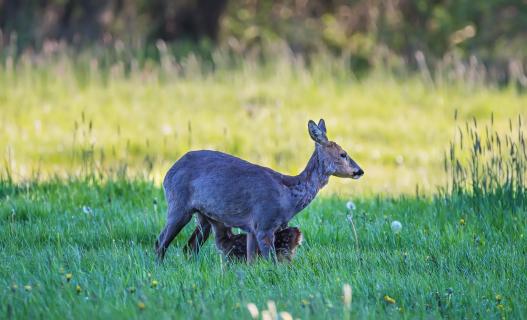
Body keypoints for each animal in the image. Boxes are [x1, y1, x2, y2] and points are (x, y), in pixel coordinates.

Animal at [155, 119, 366, 262]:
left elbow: (251, 259)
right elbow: (270, 260)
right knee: (160, 242)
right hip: (178, 204)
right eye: (343, 154)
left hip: (203, 215)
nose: (360, 171)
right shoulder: (264, 222)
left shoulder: (254, 227)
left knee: (189, 247)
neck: (288, 196)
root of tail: (168, 173)